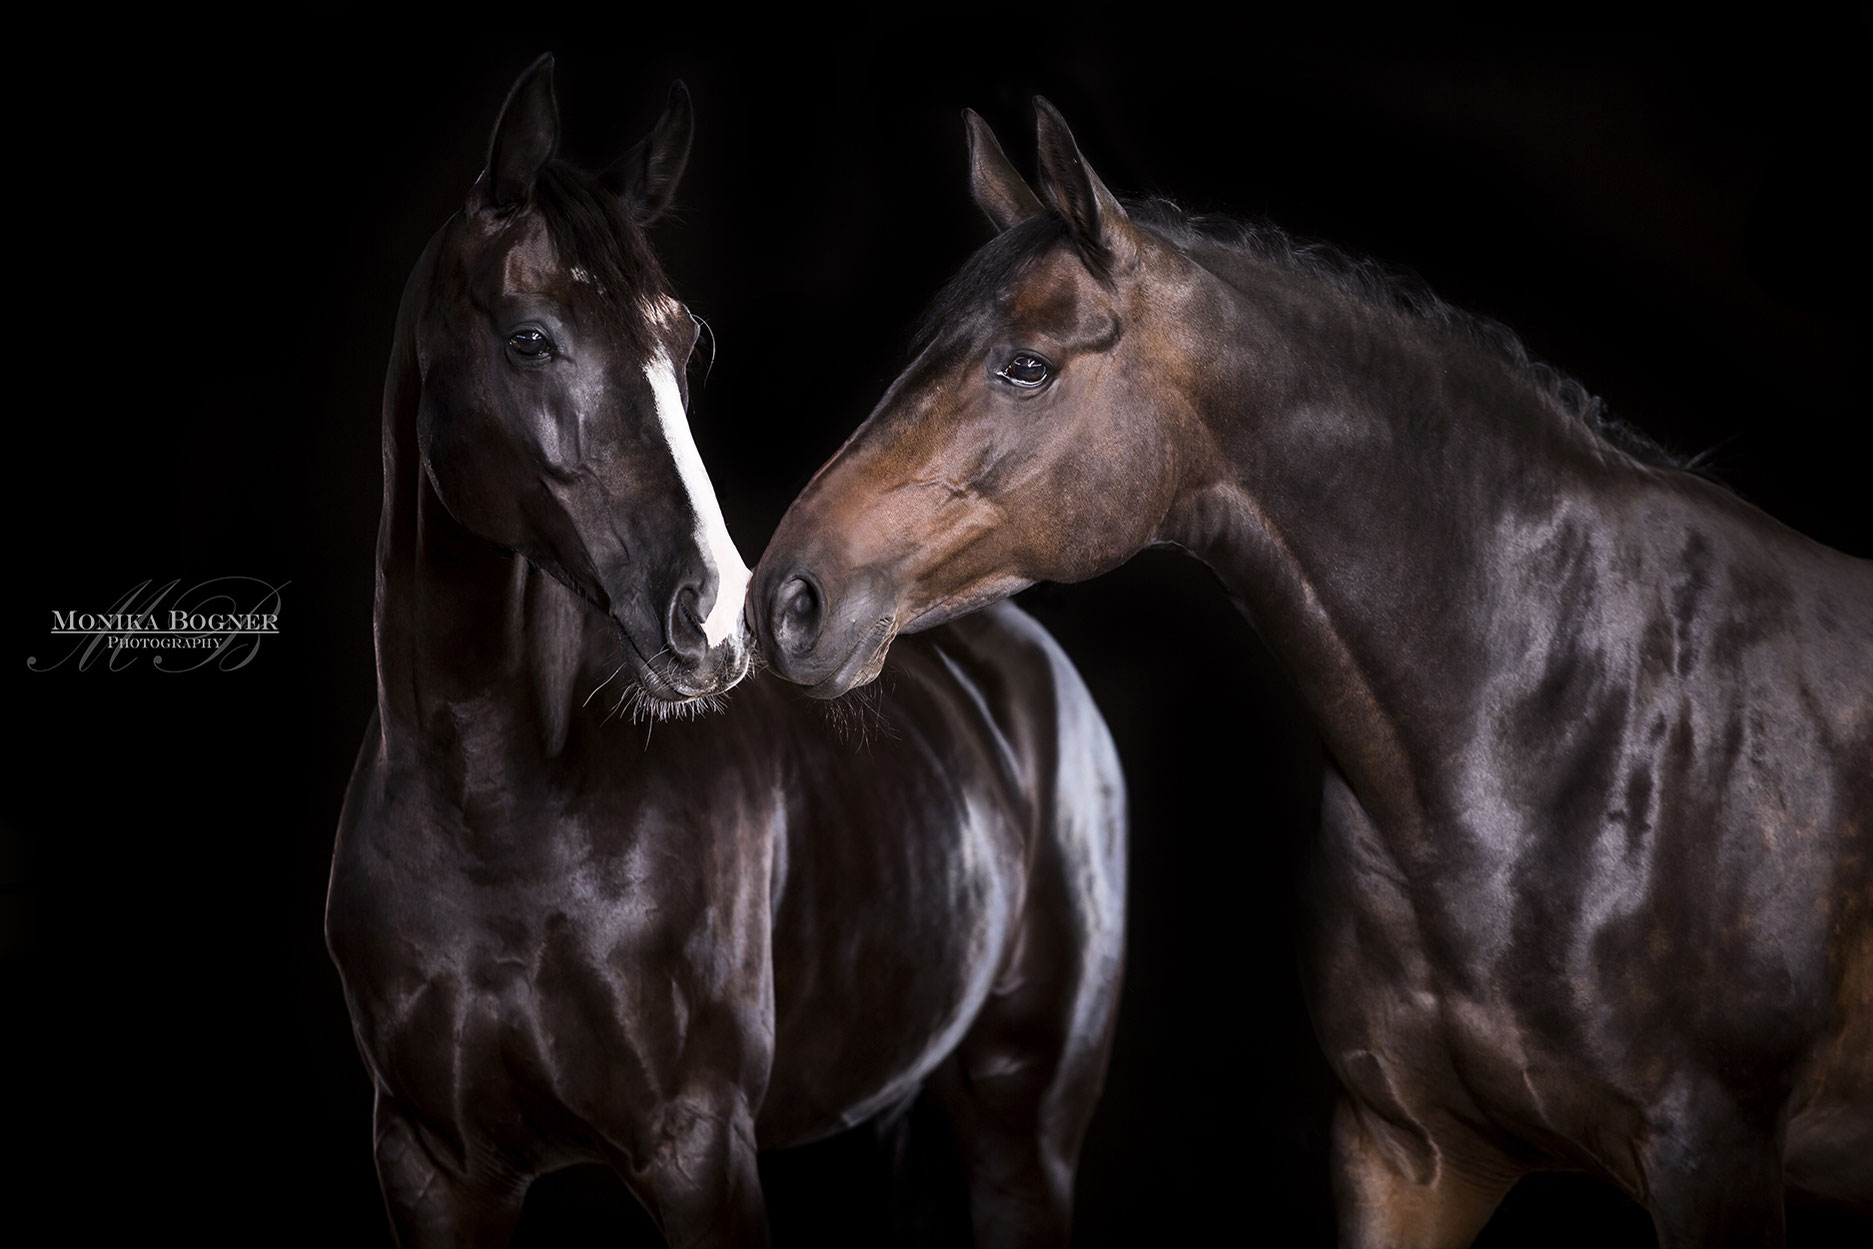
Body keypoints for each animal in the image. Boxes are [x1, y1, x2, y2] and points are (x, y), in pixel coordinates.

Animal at [324, 68, 1123, 1249]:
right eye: (528, 339)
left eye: (685, 345)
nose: (713, 622)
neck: (488, 817)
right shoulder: (430, 1168)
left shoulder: (697, 1153)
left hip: (1025, 1131)